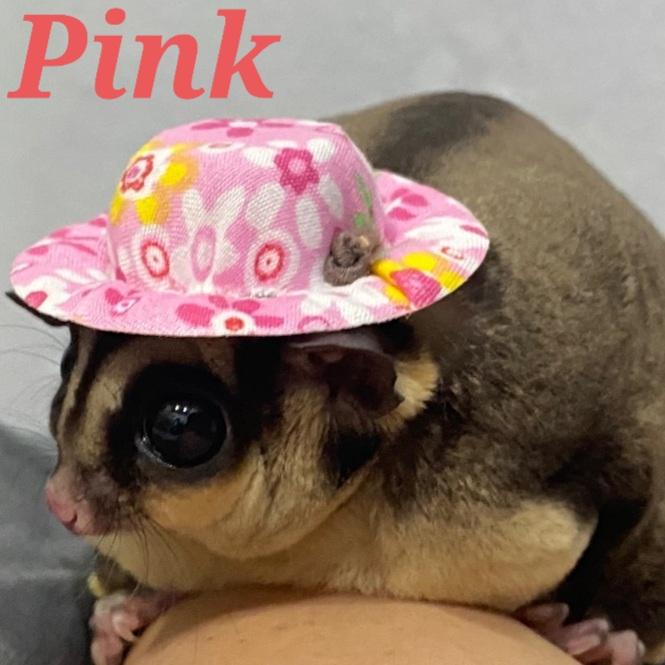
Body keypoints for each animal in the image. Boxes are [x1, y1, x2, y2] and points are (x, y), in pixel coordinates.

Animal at [13, 93, 665, 665]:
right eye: (66, 379)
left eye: (182, 426)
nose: (62, 504)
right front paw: (118, 616)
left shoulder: (525, 447)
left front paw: (611, 636)